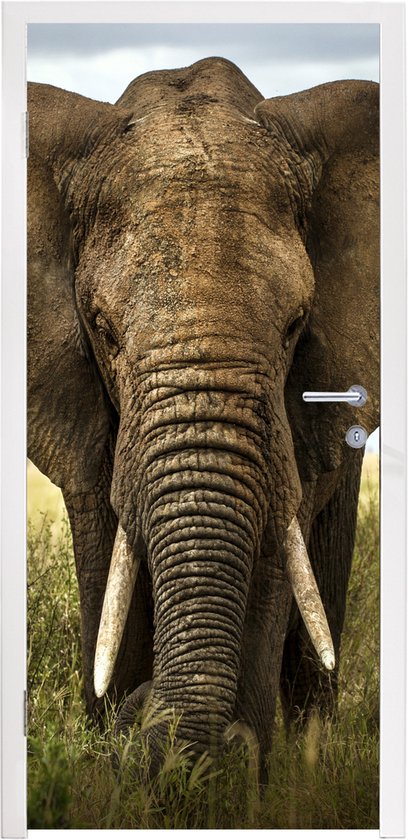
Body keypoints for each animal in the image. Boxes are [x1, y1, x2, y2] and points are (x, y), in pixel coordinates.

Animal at [27, 56, 379, 778]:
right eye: (102, 329)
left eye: (296, 325)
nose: (143, 715)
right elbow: (107, 556)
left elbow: (275, 557)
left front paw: (229, 775)